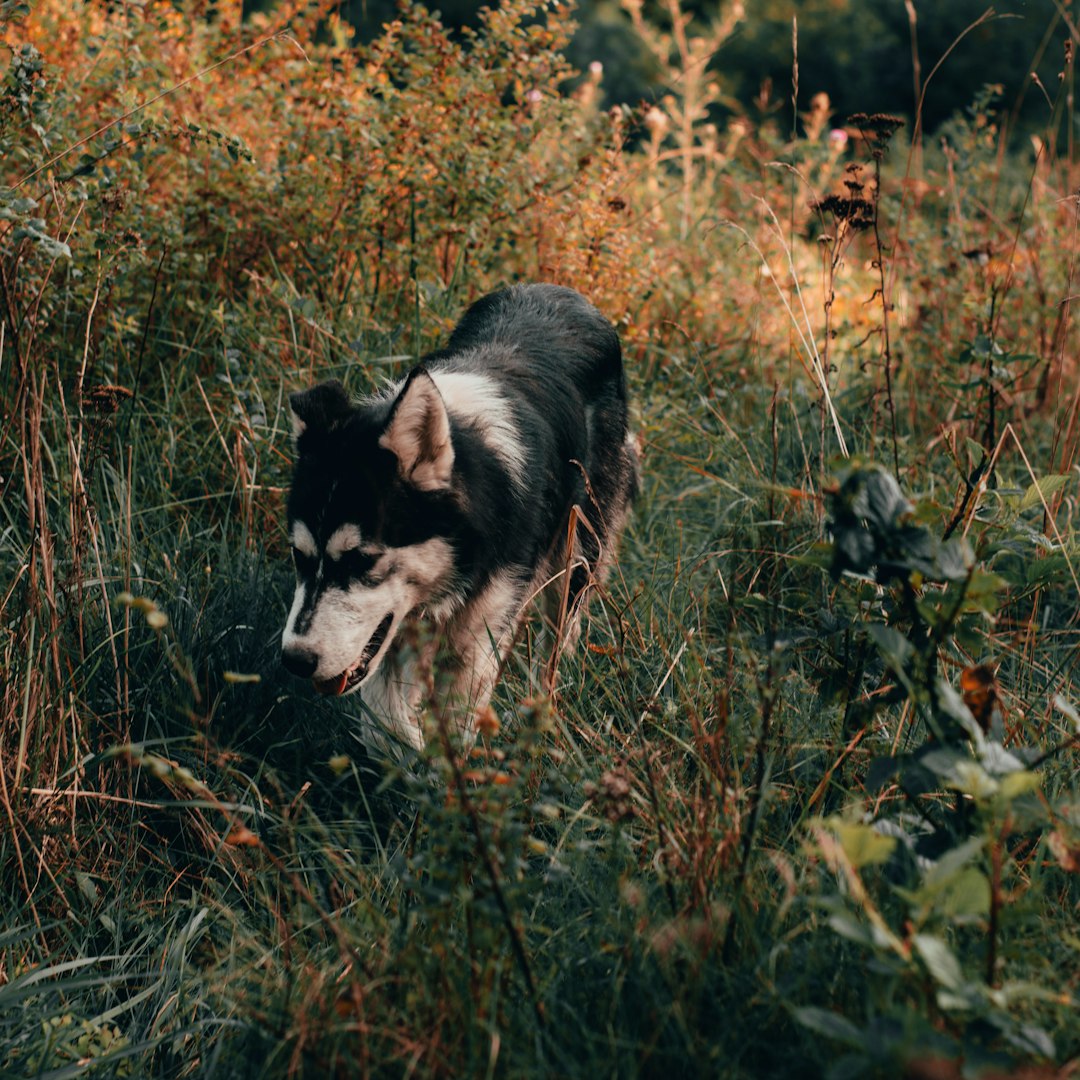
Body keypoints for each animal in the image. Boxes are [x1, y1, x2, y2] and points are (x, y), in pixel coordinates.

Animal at [278, 282, 635, 747]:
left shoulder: (479, 644)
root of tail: (565, 291)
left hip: (574, 565)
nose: (295, 660)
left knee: (552, 653)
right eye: (299, 556)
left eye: (362, 560)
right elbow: (385, 723)